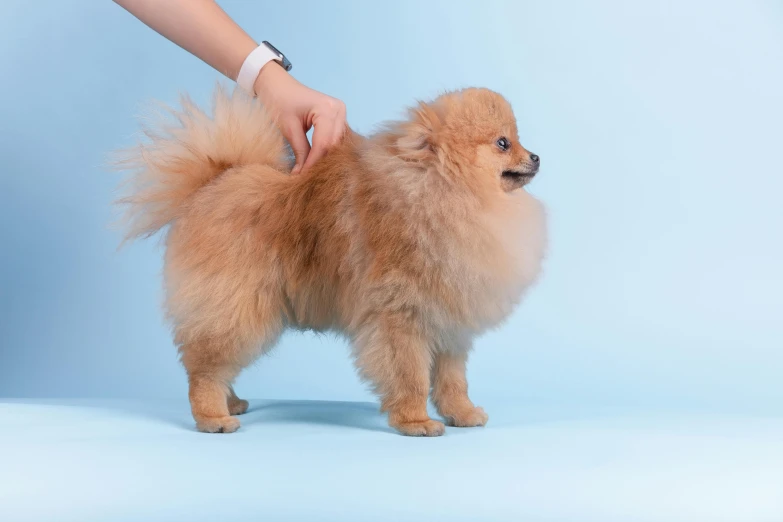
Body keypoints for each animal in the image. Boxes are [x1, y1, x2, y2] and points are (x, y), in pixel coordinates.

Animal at [115, 86, 544, 434]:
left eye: (517, 140)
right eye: (503, 143)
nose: (537, 156)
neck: (445, 191)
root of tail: (213, 181)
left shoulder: (450, 319)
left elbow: (453, 380)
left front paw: (462, 413)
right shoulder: (399, 317)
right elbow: (411, 376)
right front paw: (415, 421)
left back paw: (230, 401)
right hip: (237, 303)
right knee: (204, 365)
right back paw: (213, 416)